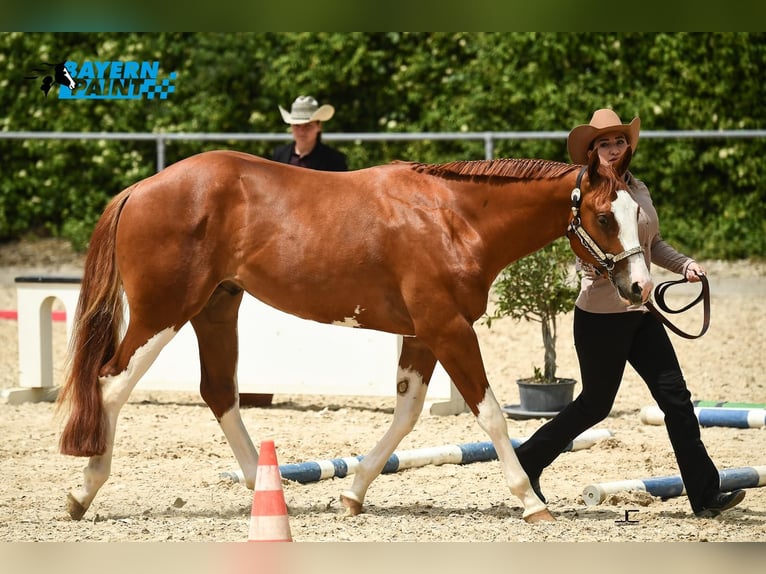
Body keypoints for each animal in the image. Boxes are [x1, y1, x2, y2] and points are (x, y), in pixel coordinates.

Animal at [57, 147, 652, 524]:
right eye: (604, 217)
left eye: (637, 214)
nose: (640, 287)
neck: (453, 218)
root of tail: (139, 190)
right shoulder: (448, 328)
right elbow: (490, 414)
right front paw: (530, 502)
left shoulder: (425, 334)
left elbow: (407, 414)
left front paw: (352, 491)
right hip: (163, 313)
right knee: (111, 384)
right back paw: (82, 492)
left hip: (216, 308)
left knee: (219, 393)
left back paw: (266, 492)